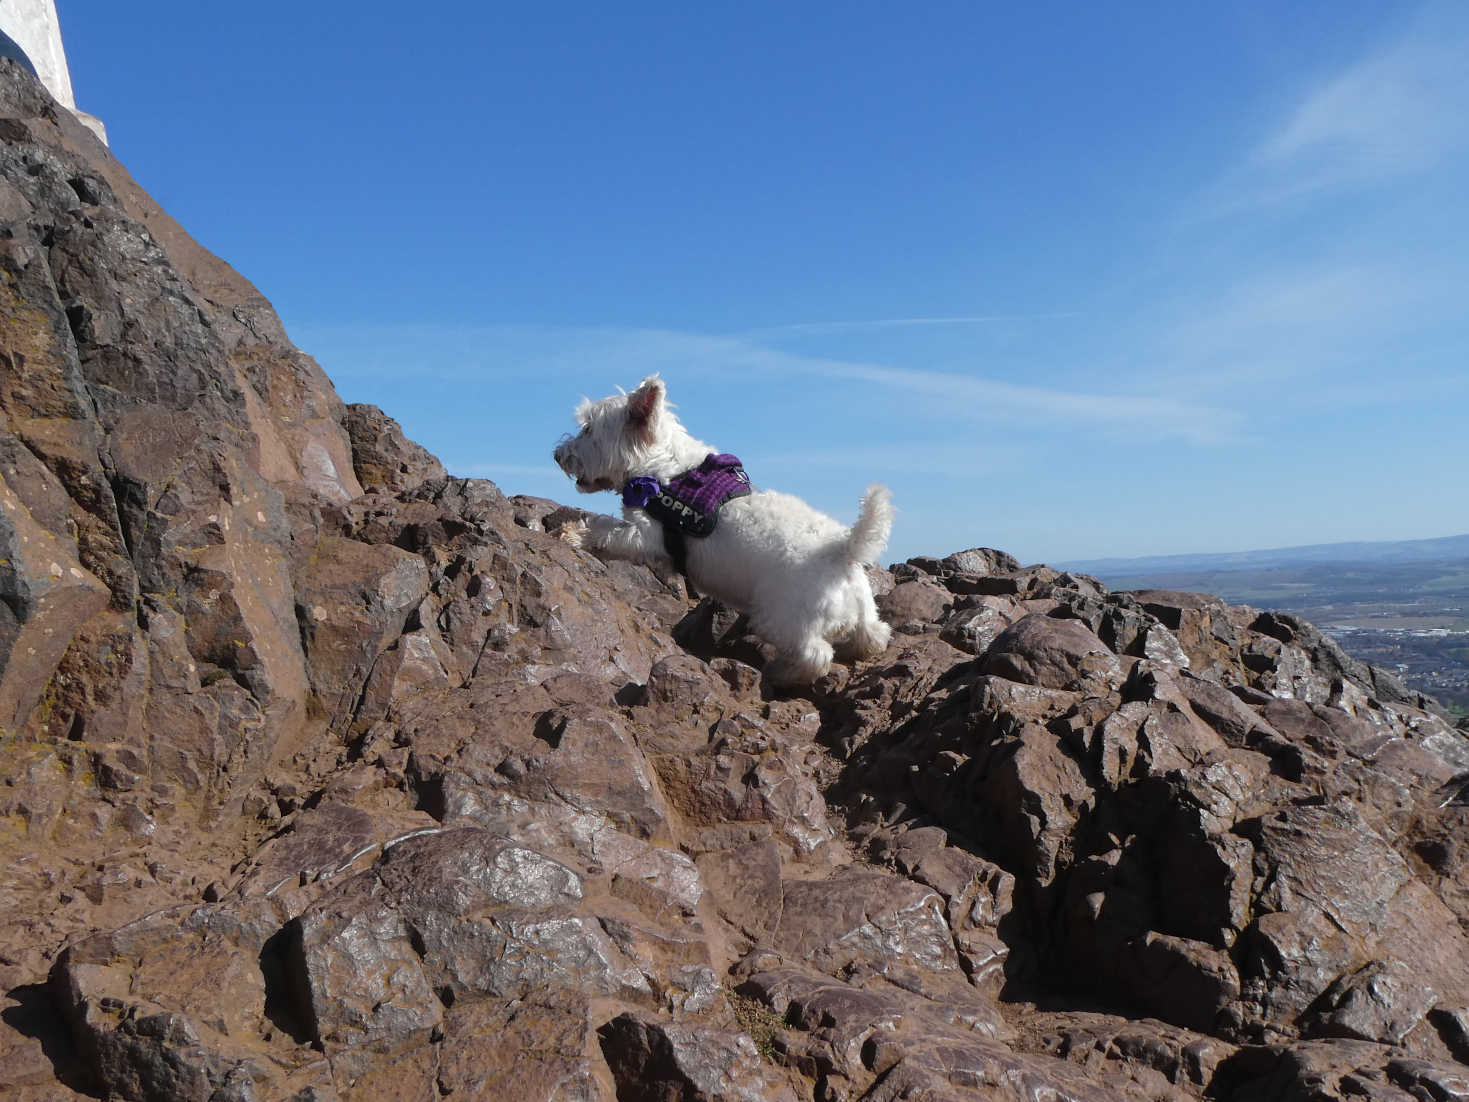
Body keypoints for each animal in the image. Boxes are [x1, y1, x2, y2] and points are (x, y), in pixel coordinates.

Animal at [552, 379, 893, 687]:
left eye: (588, 429)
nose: (557, 454)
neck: (663, 470)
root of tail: (844, 552)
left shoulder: (643, 535)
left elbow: (604, 529)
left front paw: (573, 534)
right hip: (862, 612)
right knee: (876, 633)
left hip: (783, 620)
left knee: (816, 655)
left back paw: (781, 672)